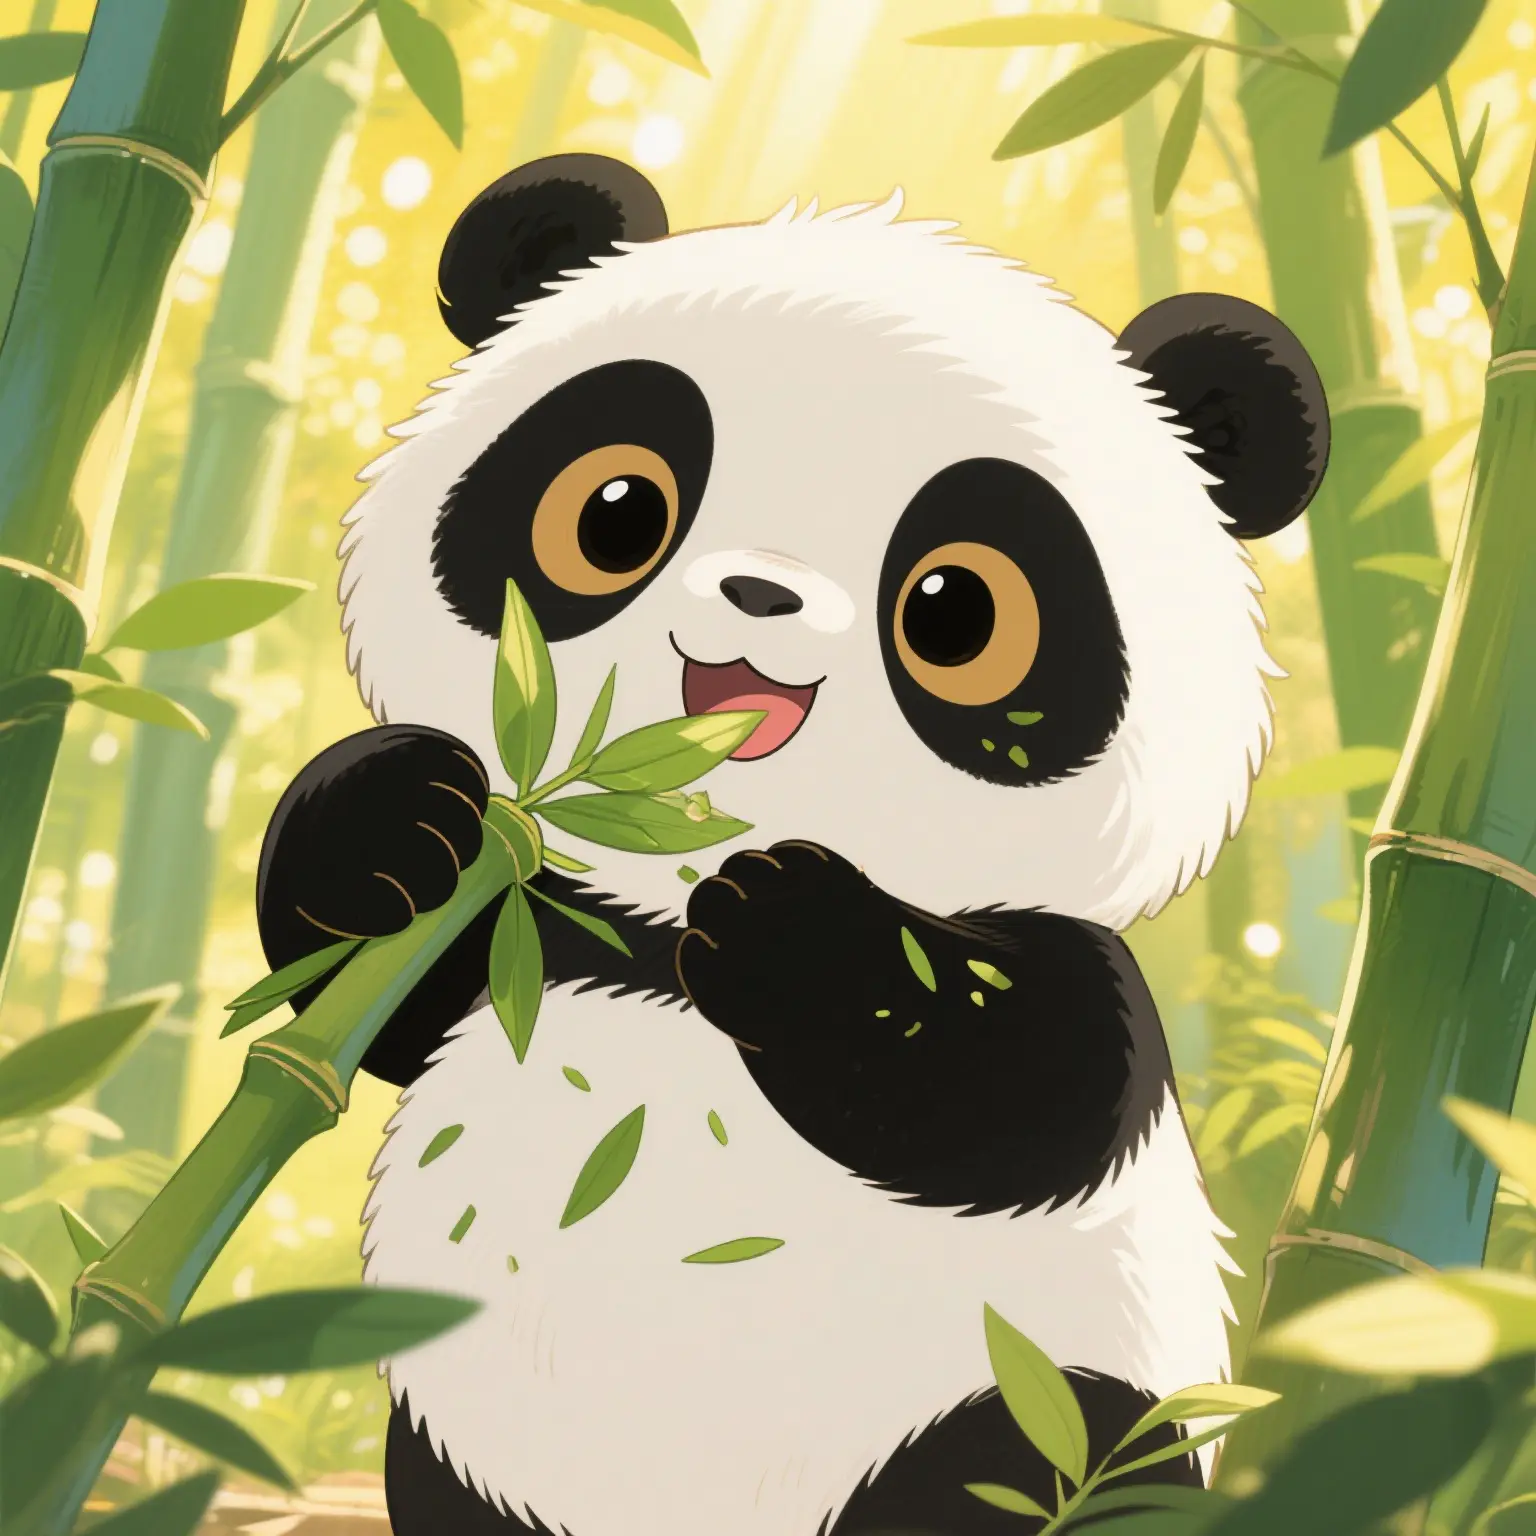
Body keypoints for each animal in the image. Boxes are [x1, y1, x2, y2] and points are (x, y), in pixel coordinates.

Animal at [255, 154, 1328, 1535]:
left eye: (957, 611)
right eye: (614, 513)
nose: (761, 601)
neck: (668, 886)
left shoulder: (1071, 991)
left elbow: (1017, 1087)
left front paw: (797, 938)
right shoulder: (538, 924)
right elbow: (378, 998)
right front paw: (398, 822)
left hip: (1015, 1408)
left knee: (1045, 1455)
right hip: (458, 1453)